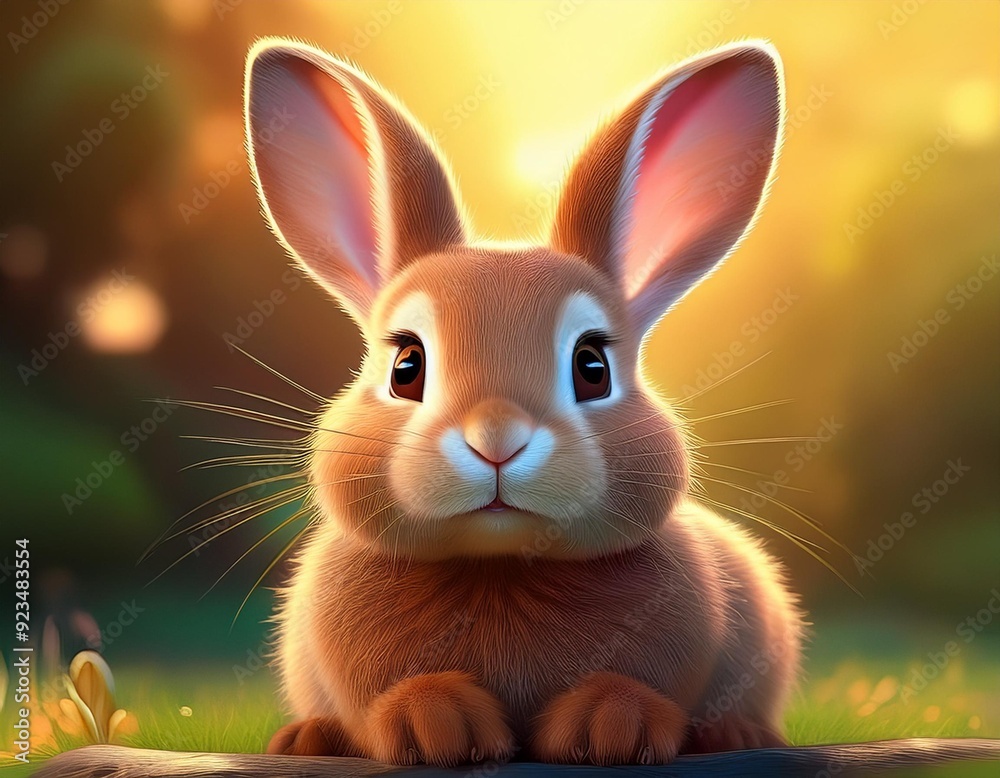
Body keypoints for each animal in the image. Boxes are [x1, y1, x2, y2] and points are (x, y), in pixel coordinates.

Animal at [244, 36, 804, 766]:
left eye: (592, 367)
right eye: (406, 367)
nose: (497, 440)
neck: (500, 565)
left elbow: (640, 690)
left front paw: (610, 727)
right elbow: (388, 702)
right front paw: (436, 725)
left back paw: (736, 733)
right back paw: (307, 737)